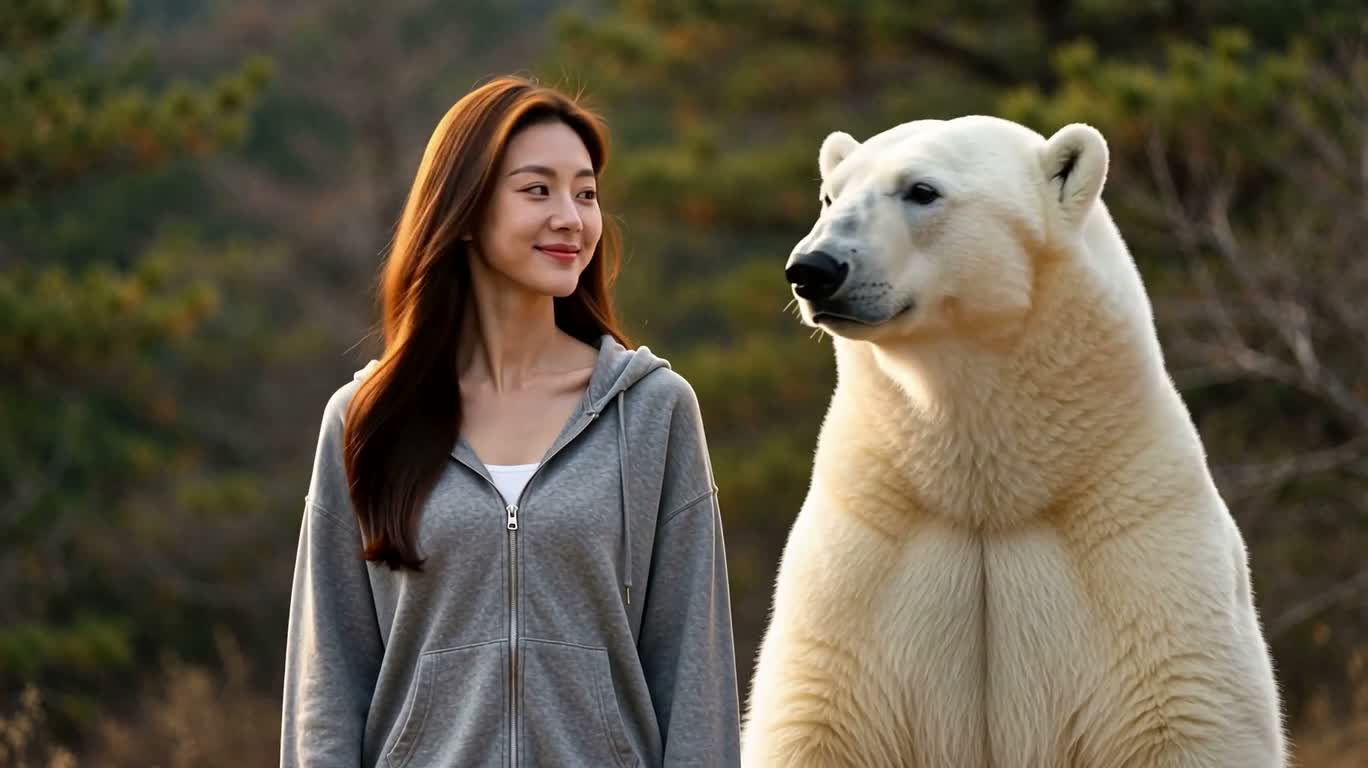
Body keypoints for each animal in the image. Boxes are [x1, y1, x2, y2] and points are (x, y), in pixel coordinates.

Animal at [739, 116, 1286, 767]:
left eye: (921, 190)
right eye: (830, 194)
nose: (814, 268)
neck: (990, 491)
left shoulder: (1137, 536)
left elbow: (1182, 710)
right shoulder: (864, 546)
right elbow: (822, 716)